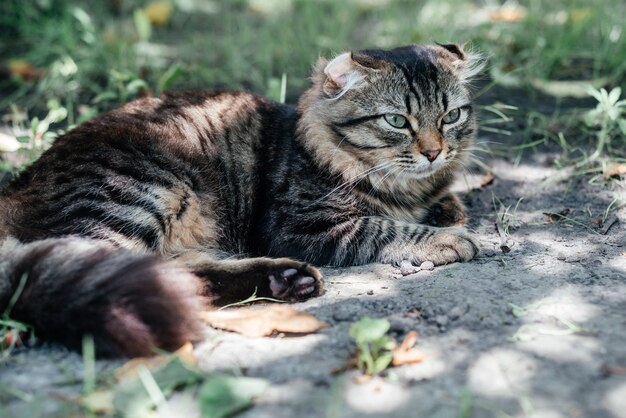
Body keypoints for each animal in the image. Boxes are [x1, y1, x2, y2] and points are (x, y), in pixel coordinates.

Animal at [0, 43, 482, 356]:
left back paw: (285, 281)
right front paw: (447, 238)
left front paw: (448, 209)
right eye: (397, 121)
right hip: (139, 193)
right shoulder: (306, 224)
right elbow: (386, 227)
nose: (434, 151)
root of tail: (15, 187)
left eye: (450, 116)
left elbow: (437, 204)